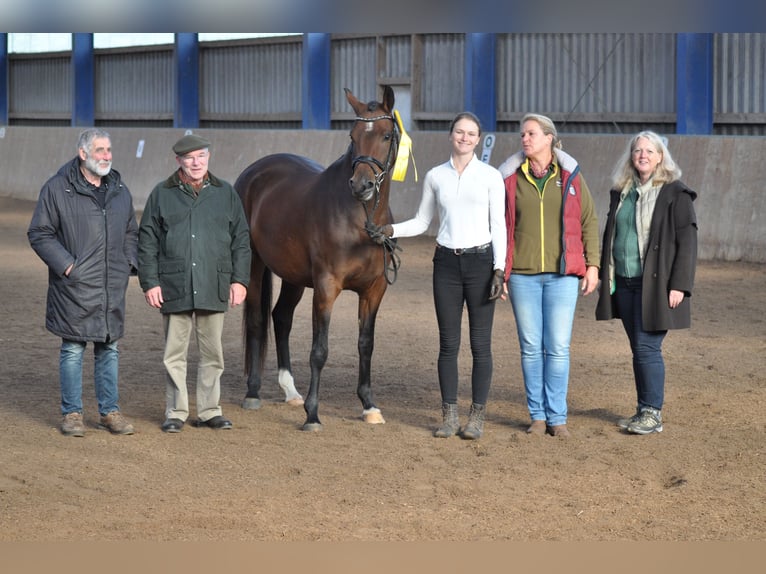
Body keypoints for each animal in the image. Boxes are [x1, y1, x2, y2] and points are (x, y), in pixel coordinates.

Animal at [234, 83, 402, 430]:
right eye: (352, 135)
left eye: (385, 135)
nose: (361, 185)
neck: (359, 221)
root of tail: (254, 172)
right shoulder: (326, 287)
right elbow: (319, 350)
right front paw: (312, 413)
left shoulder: (374, 290)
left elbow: (366, 344)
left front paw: (369, 405)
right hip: (255, 265)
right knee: (257, 320)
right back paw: (253, 392)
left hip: (294, 277)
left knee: (281, 318)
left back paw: (290, 390)